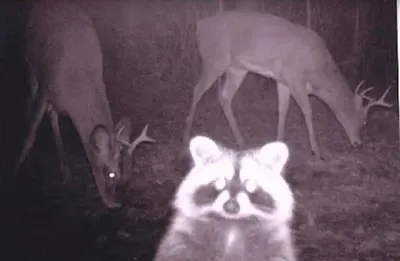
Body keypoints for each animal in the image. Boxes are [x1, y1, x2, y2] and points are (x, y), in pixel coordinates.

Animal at [14, 0, 155, 207]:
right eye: (111, 174)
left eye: (127, 175)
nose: (116, 203)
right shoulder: (46, 85)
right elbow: (31, 133)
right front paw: (17, 171)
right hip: (30, 64)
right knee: (30, 103)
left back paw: (64, 171)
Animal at [154, 135, 296, 258]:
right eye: (220, 182)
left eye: (249, 185)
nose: (231, 206)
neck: (232, 223)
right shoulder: (182, 238)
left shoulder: (275, 244)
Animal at [184, 10, 394, 158]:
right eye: (364, 120)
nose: (359, 143)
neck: (318, 71)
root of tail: (199, 25)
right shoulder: (294, 78)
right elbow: (307, 110)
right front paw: (316, 151)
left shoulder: (282, 81)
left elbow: (283, 109)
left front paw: (278, 142)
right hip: (215, 60)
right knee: (197, 90)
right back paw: (187, 134)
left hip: (237, 68)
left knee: (224, 97)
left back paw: (241, 142)